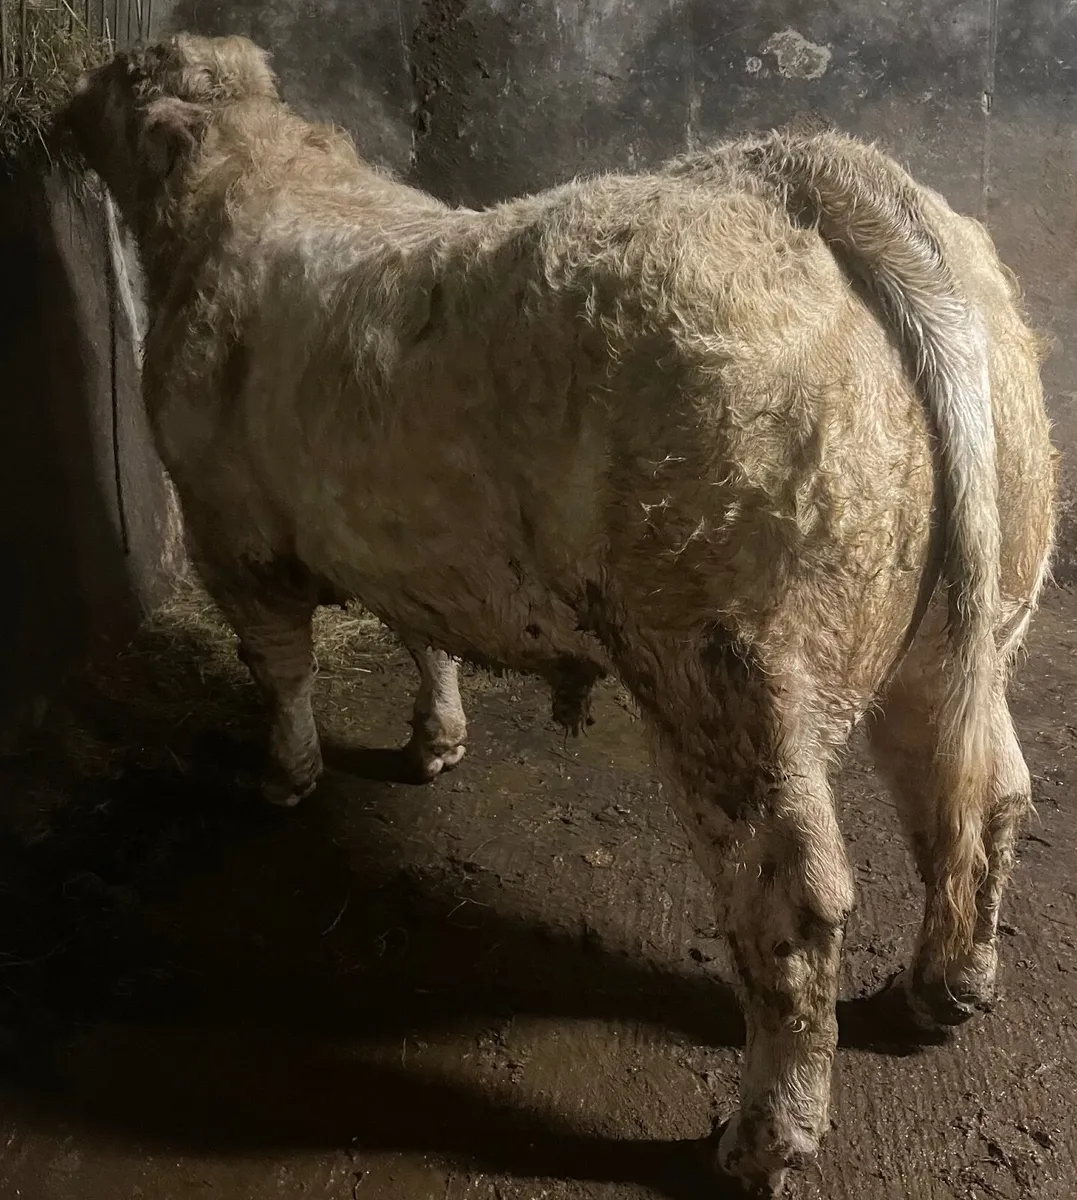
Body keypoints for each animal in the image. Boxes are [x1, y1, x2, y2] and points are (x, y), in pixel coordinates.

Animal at [62, 34, 1056, 1195]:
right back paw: (948, 987)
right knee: (982, 796)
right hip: (971, 622)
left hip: (729, 677)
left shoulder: (230, 528)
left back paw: (765, 1135)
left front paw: (285, 778)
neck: (255, 181)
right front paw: (434, 740)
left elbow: (282, 667)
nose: (60, 111)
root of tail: (794, 171)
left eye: (121, 79)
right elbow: (420, 634)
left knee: (795, 899)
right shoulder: (403, 536)